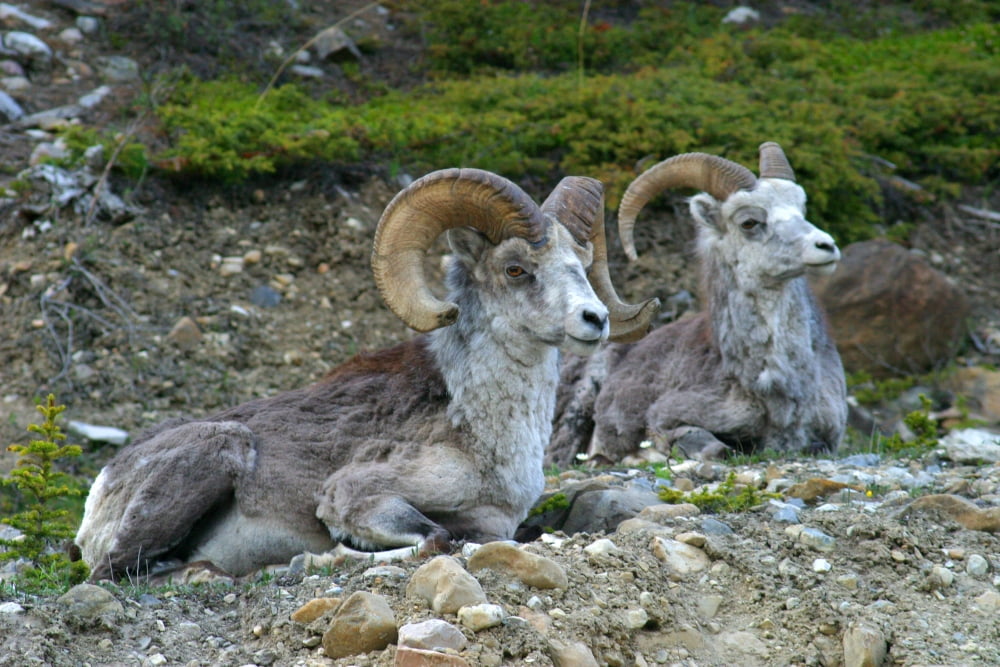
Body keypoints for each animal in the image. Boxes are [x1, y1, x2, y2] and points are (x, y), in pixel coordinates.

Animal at [74, 168, 659, 580]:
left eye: (582, 264)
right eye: (516, 269)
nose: (595, 319)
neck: (481, 430)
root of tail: (103, 485)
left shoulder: (494, 521)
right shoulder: (355, 496)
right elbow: (435, 538)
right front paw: (326, 557)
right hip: (218, 449)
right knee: (118, 573)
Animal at [548, 142, 847, 466]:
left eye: (801, 209)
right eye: (749, 222)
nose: (826, 246)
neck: (777, 389)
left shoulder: (826, 440)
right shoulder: (667, 419)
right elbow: (716, 448)